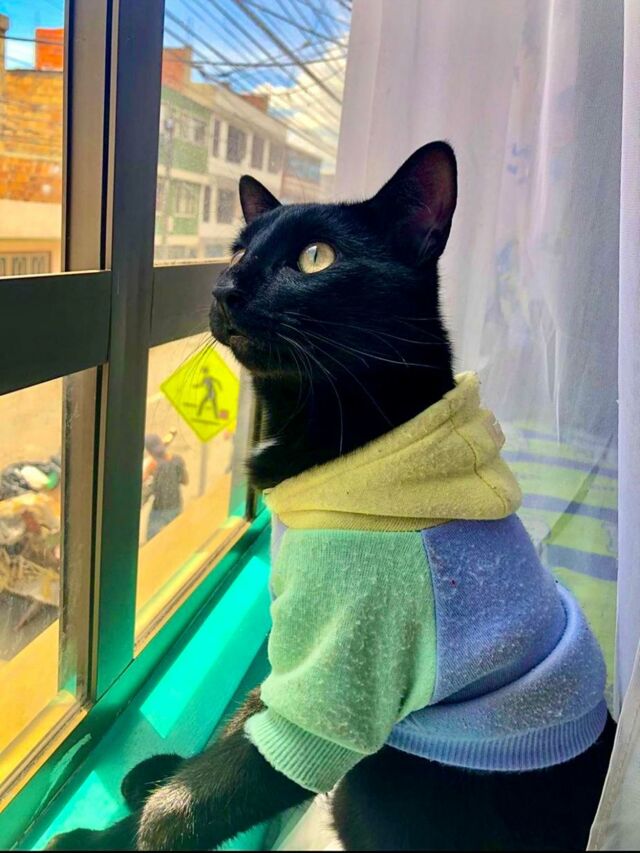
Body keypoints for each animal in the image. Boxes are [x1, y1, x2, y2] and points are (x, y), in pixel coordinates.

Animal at [48, 142, 614, 852]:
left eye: (316, 257)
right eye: (238, 251)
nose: (224, 287)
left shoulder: (338, 688)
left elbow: (195, 802)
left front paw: (114, 834)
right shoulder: (294, 652)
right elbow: (240, 725)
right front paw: (153, 781)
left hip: (389, 776)